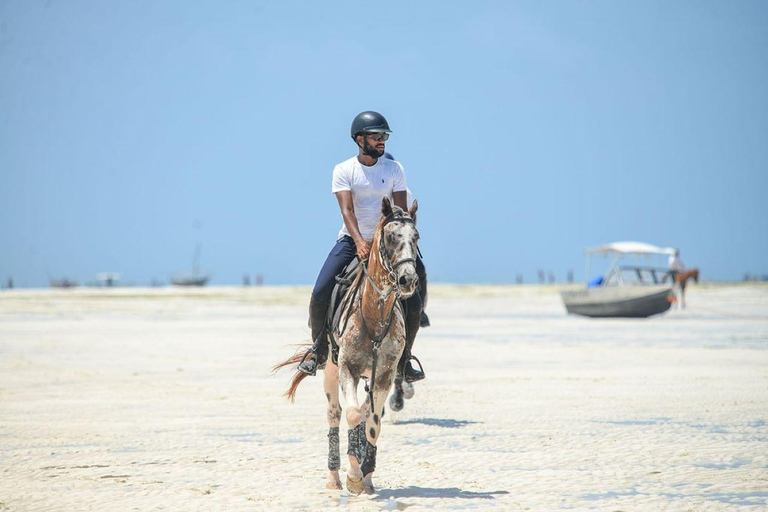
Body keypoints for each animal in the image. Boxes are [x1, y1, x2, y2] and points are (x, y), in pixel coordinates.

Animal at [274, 195, 420, 492]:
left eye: (416, 237)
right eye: (390, 237)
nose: (408, 280)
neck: (374, 316)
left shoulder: (385, 375)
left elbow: (372, 421)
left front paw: (366, 474)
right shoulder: (346, 368)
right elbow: (352, 415)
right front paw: (353, 476)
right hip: (329, 368)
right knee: (335, 413)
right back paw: (334, 476)